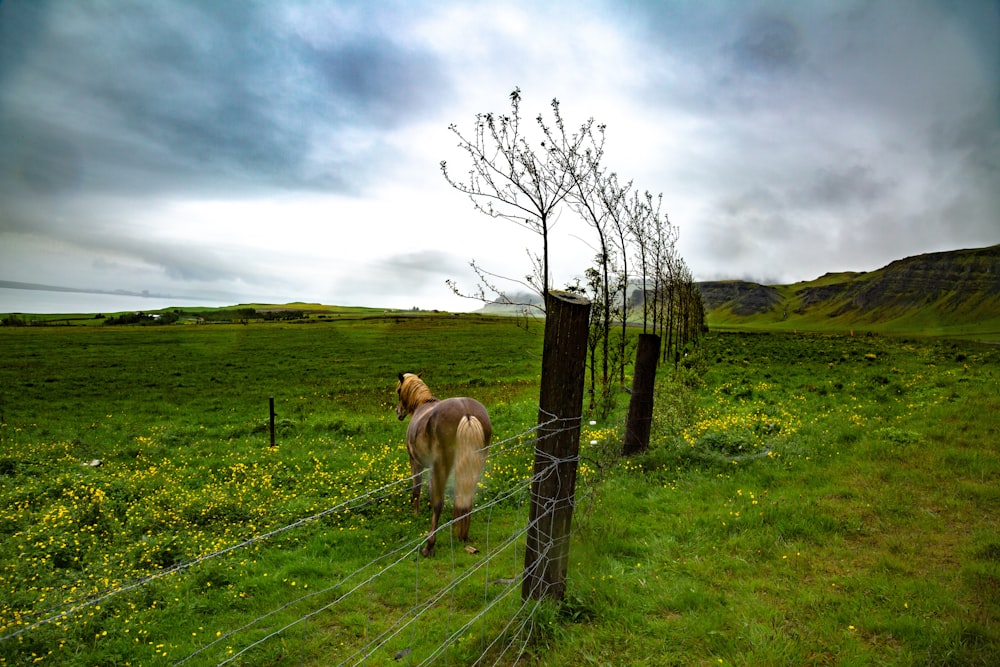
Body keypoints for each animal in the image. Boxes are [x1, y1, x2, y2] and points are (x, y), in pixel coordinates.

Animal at [396, 374, 494, 556]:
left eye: (399, 390)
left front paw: (416, 514)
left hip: (443, 466)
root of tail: (467, 413)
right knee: (466, 498)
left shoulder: (416, 463)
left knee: (439, 503)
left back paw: (429, 546)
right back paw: (463, 535)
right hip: (474, 466)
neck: (422, 404)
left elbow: (417, 490)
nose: (398, 412)